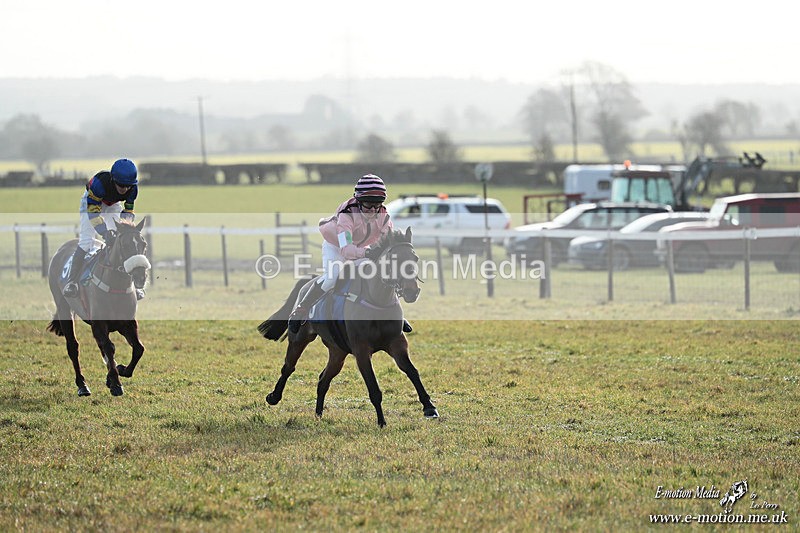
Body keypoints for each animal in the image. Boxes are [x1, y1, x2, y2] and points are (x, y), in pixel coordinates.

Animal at [46, 218, 151, 397]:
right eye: (125, 245)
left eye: (143, 244)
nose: (140, 276)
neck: (116, 286)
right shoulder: (99, 323)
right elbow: (109, 347)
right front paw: (115, 383)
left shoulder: (128, 323)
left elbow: (138, 348)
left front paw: (121, 370)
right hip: (63, 308)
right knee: (73, 346)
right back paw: (82, 385)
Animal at [257, 227, 438, 427]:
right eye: (394, 259)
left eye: (414, 258)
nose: (411, 291)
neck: (377, 300)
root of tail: (308, 282)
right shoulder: (361, 349)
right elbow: (373, 387)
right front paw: (381, 422)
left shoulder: (396, 342)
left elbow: (412, 371)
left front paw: (429, 407)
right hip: (299, 338)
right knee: (289, 367)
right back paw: (274, 397)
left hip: (338, 351)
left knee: (323, 379)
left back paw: (318, 413)